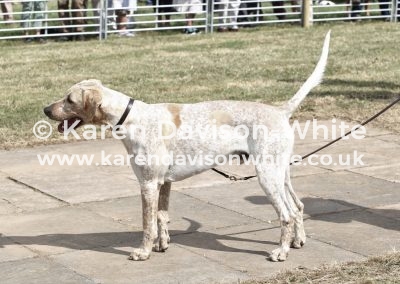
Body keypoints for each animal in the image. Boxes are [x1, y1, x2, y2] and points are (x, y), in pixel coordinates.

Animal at [44, 31, 332, 262]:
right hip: (280, 174)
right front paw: (162, 245)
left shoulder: (148, 184)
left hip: (267, 177)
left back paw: (281, 251)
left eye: (69, 100)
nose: (45, 109)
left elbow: (147, 223)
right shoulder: (163, 183)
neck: (132, 117)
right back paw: (297, 241)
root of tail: (280, 110)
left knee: (286, 214)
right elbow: (162, 218)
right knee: (298, 207)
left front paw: (143, 252)